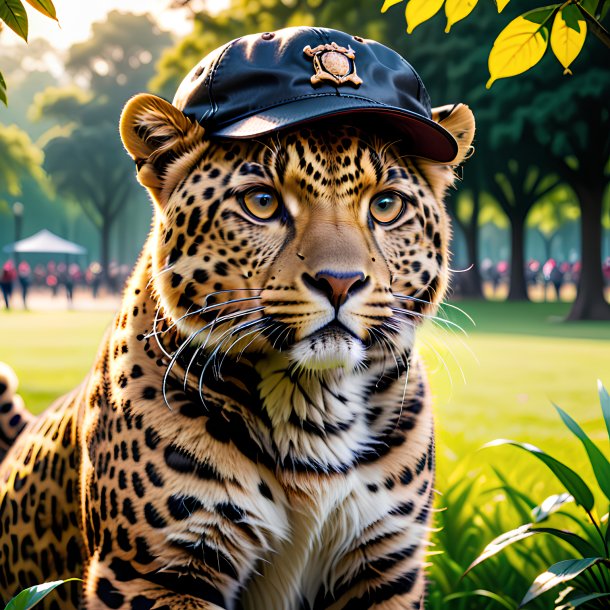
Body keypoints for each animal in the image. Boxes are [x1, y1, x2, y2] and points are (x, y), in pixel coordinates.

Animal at [0, 88, 476, 604]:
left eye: (387, 205)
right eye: (262, 202)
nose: (340, 282)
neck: (314, 403)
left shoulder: (387, 568)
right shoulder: (155, 572)